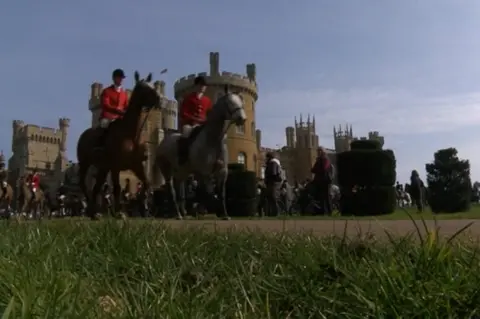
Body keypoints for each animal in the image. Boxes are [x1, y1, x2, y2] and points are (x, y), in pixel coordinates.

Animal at [77, 71, 161, 219]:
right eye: (143, 88)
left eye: (152, 85)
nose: (159, 100)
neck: (130, 134)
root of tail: (84, 134)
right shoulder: (115, 167)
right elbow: (117, 188)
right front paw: (118, 212)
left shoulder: (137, 165)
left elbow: (146, 184)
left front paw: (144, 206)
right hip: (85, 164)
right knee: (84, 184)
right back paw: (91, 208)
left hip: (103, 168)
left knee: (96, 187)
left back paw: (95, 212)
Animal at [154, 85, 246, 220]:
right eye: (229, 102)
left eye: (240, 101)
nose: (242, 119)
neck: (213, 139)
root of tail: (164, 141)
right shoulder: (204, 172)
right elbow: (208, 194)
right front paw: (202, 210)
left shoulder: (222, 172)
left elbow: (221, 194)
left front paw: (224, 214)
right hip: (166, 170)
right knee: (171, 191)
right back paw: (178, 213)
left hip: (182, 172)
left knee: (180, 190)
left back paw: (181, 212)